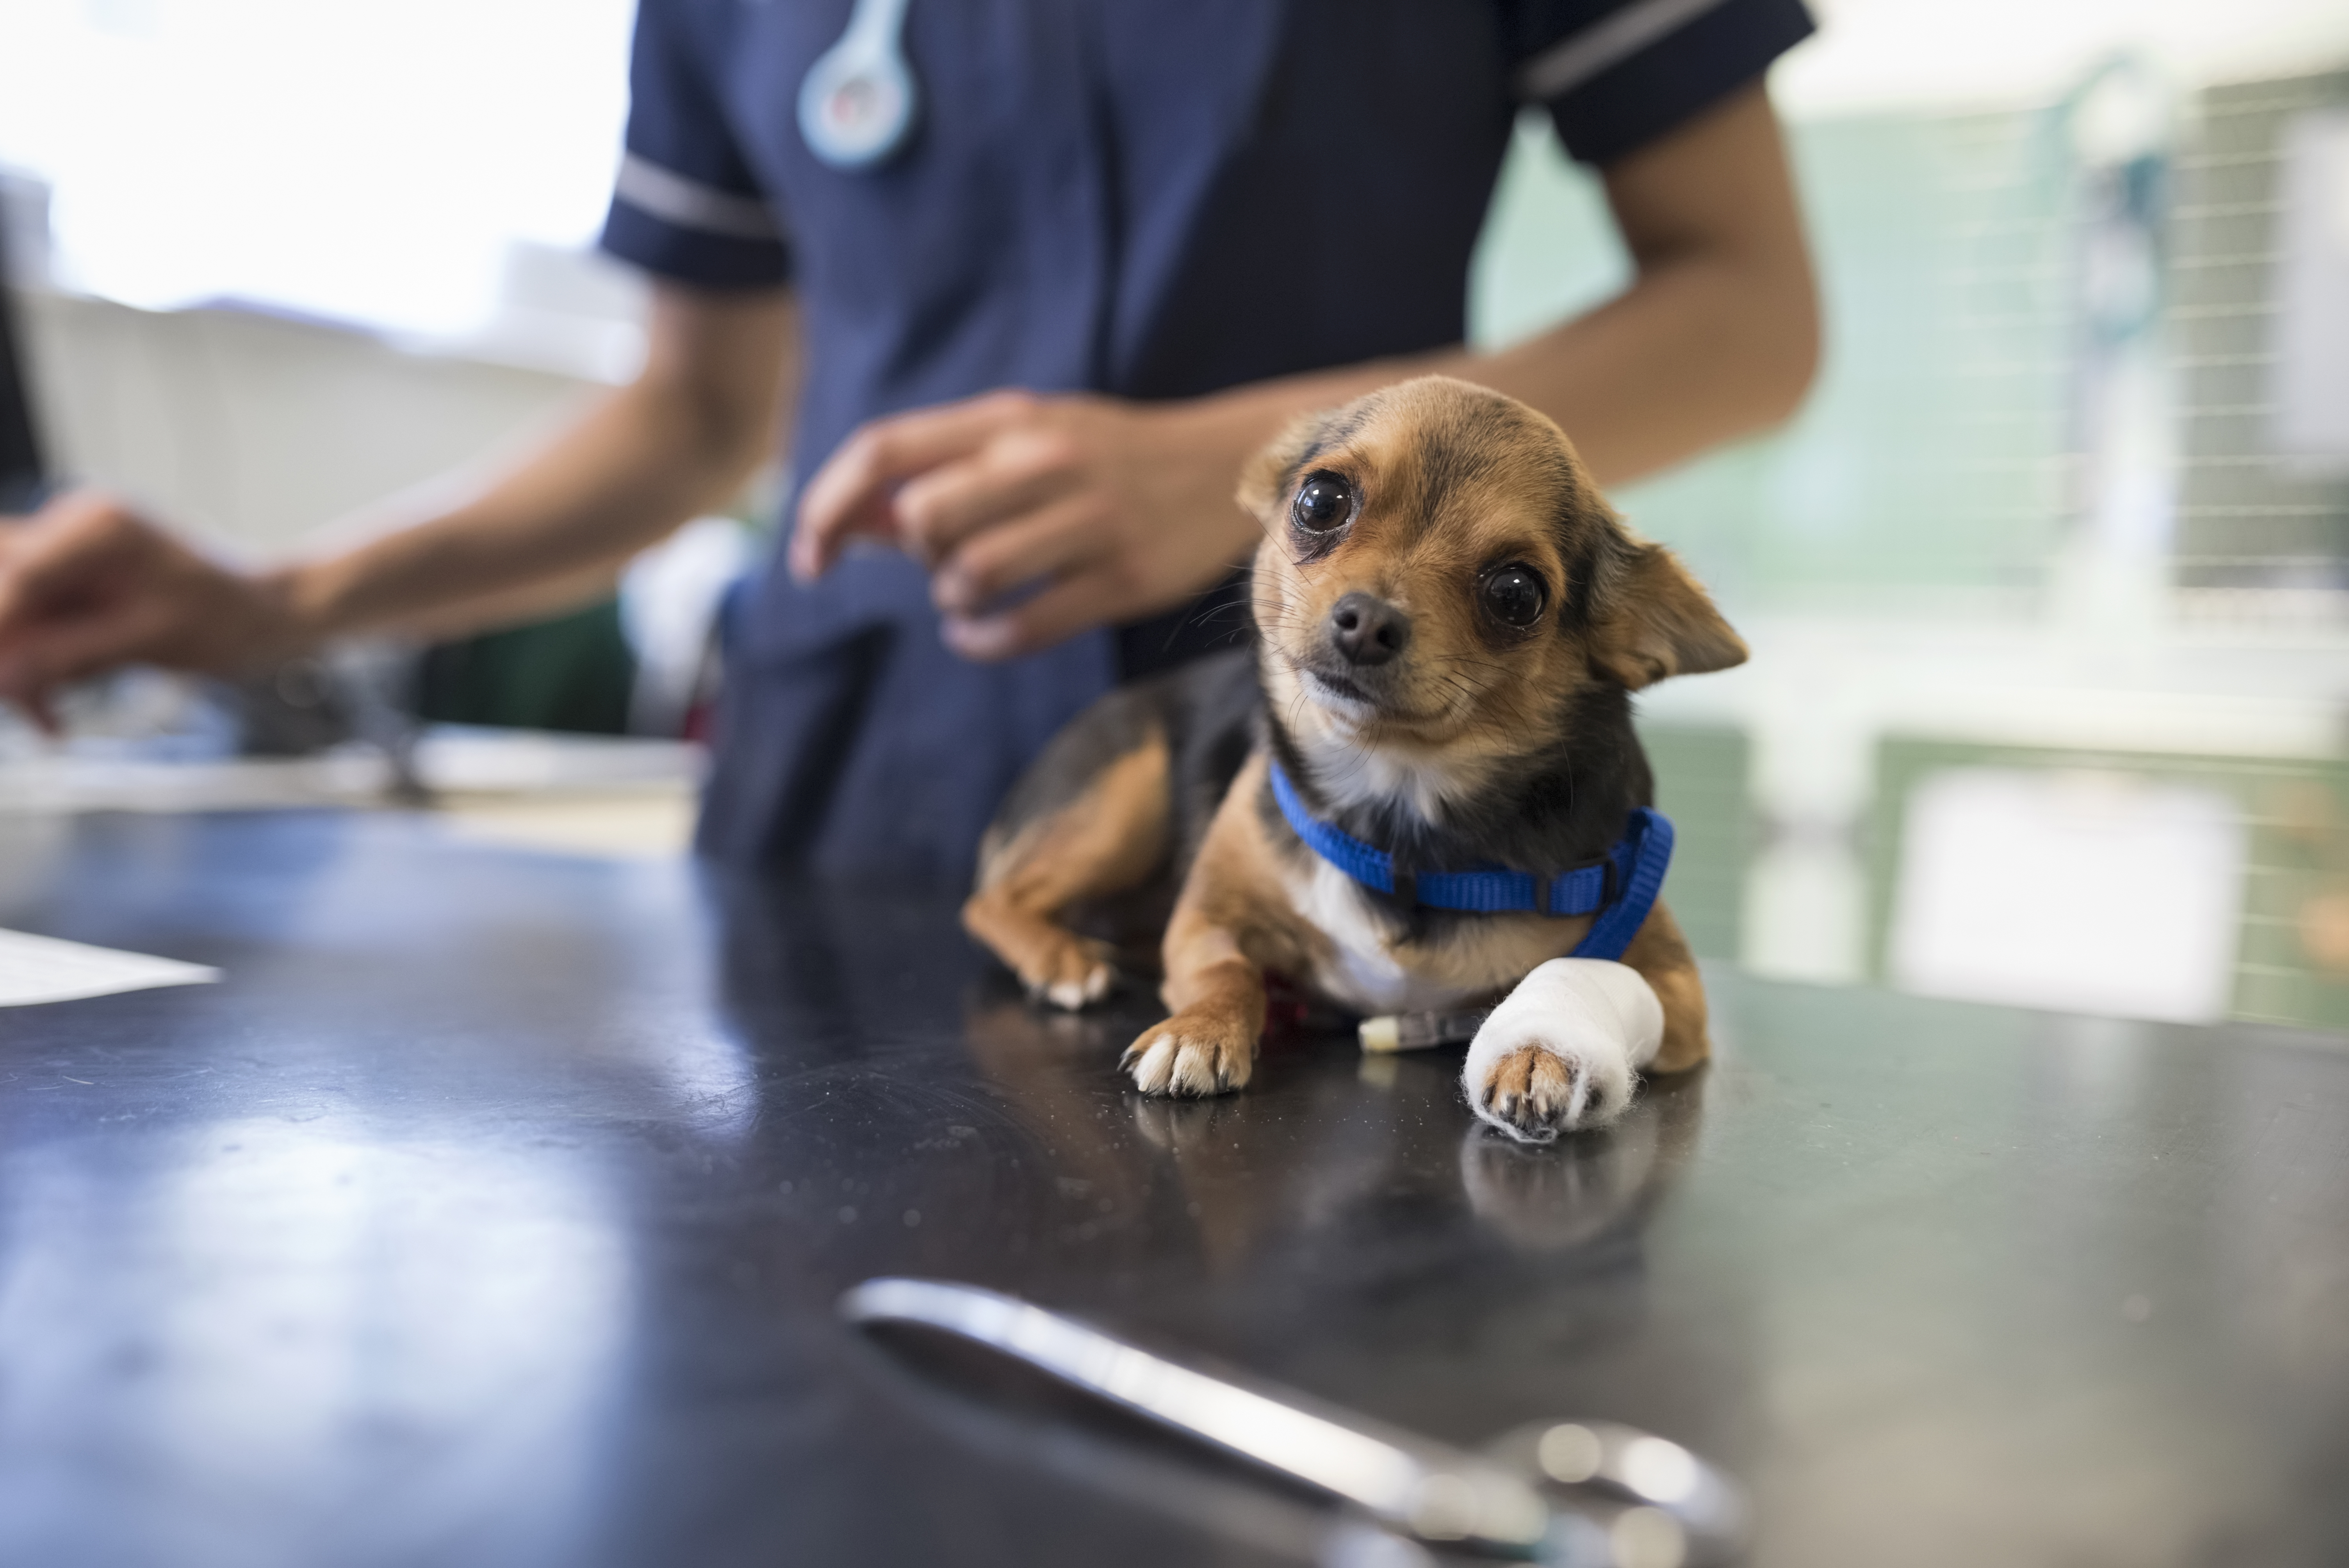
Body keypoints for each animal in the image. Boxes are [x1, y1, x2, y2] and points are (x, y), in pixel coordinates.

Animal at [954, 380, 1747, 1140]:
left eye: (1517, 593)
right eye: (1321, 501)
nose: (1368, 621)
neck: (1395, 799)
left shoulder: (1673, 985)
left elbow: (1563, 973)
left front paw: (1540, 1051)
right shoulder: (1205, 921)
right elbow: (1228, 972)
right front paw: (1198, 1030)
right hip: (1128, 794)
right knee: (991, 900)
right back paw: (1064, 961)